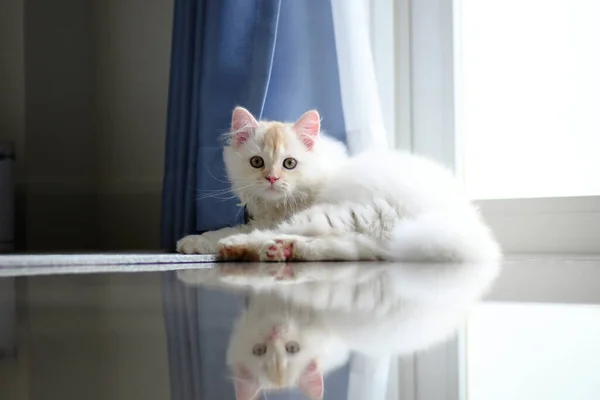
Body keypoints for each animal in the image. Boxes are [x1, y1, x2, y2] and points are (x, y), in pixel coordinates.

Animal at [177, 106, 502, 264]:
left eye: (289, 164)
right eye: (257, 163)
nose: (271, 178)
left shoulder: (283, 215)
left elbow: (231, 229)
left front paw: (198, 241)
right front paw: (192, 243)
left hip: (345, 213)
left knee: (272, 235)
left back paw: (241, 247)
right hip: (367, 235)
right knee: (340, 249)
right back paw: (282, 250)